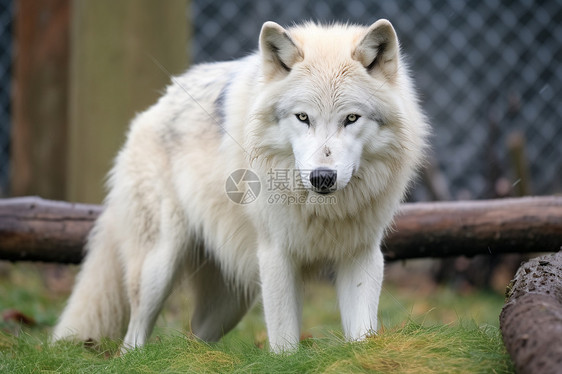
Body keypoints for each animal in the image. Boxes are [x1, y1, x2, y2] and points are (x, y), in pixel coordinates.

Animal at [53, 19, 428, 354]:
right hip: (158, 270)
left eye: (351, 118)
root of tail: (149, 112)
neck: (322, 212)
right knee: (131, 343)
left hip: (230, 303)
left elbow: (362, 336)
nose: (322, 177)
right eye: (302, 117)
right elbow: (285, 344)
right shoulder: (276, 254)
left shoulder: (362, 255)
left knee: (193, 337)